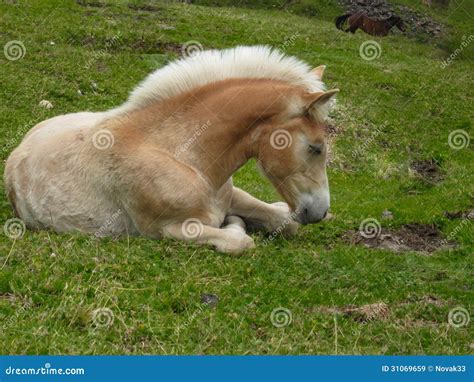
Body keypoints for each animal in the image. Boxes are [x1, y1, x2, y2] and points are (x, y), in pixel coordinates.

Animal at [2, 44, 336, 254]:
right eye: (316, 148)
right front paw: (236, 226)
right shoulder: (169, 230)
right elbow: (240, 241)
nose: (320, 212)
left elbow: (284, 224)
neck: (184, 156)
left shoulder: (231, 196)